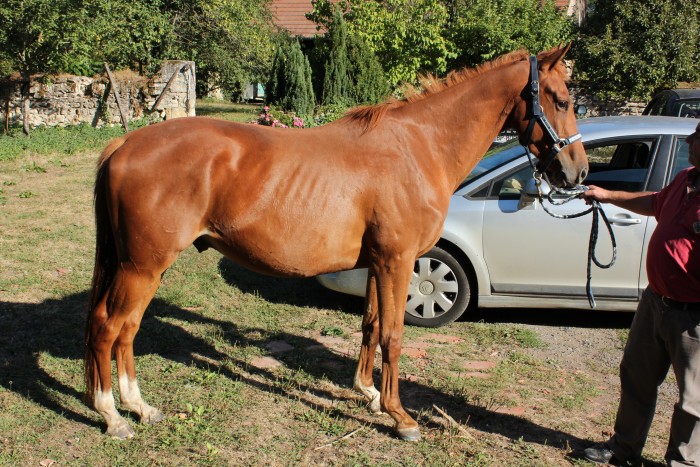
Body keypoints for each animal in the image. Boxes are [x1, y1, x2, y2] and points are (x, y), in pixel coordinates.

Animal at [84, 45, 588, 441]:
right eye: (563, 100)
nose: (578, 171)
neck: (418, 147)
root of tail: (125, 144)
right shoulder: (399, 261)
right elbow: (393, 334)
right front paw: (400, 416)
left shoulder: (378, 263)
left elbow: (369, 324)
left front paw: (368, 393)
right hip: (142, 267)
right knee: (109, 326)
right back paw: (112, 415)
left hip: (145, 267)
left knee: (127, 329)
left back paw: (140, 407)